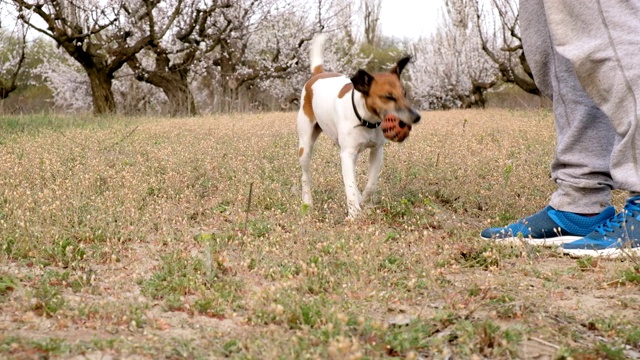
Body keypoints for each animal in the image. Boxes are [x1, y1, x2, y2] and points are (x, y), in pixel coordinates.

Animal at [298, 34, 422, 219]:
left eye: (404, 94)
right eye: (388, 97)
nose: (416, 117)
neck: (366, 120)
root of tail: (319, 74)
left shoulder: (377, 151)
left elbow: (371, 183)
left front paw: (364, 202)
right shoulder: (347, 154)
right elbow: (349, 185)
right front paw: (354, 214)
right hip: (305, 146)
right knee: (306, 175)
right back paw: (307, 202)